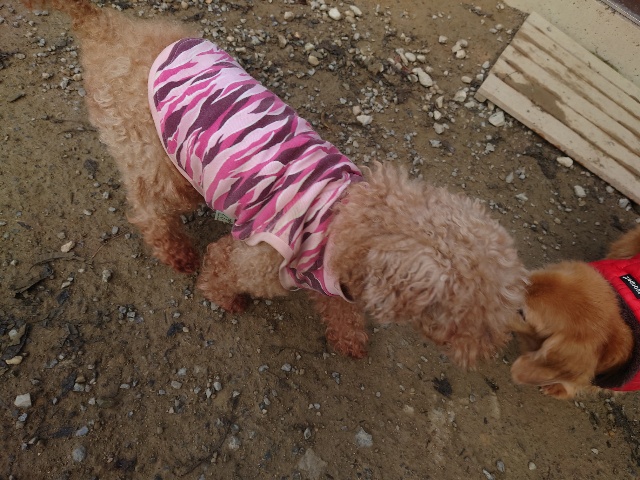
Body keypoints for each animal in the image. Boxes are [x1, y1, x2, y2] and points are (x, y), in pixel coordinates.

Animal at [24, 0, 527, 368]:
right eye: (470, 318)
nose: (489, 353)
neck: (342, 222)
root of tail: (106, 27)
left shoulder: (334, 284)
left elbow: (341, 308)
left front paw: (350, 339)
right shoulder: (255, 258)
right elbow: (221, 268)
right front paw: (225, 300)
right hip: (153, 154)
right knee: (149, 209)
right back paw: (177, 252)